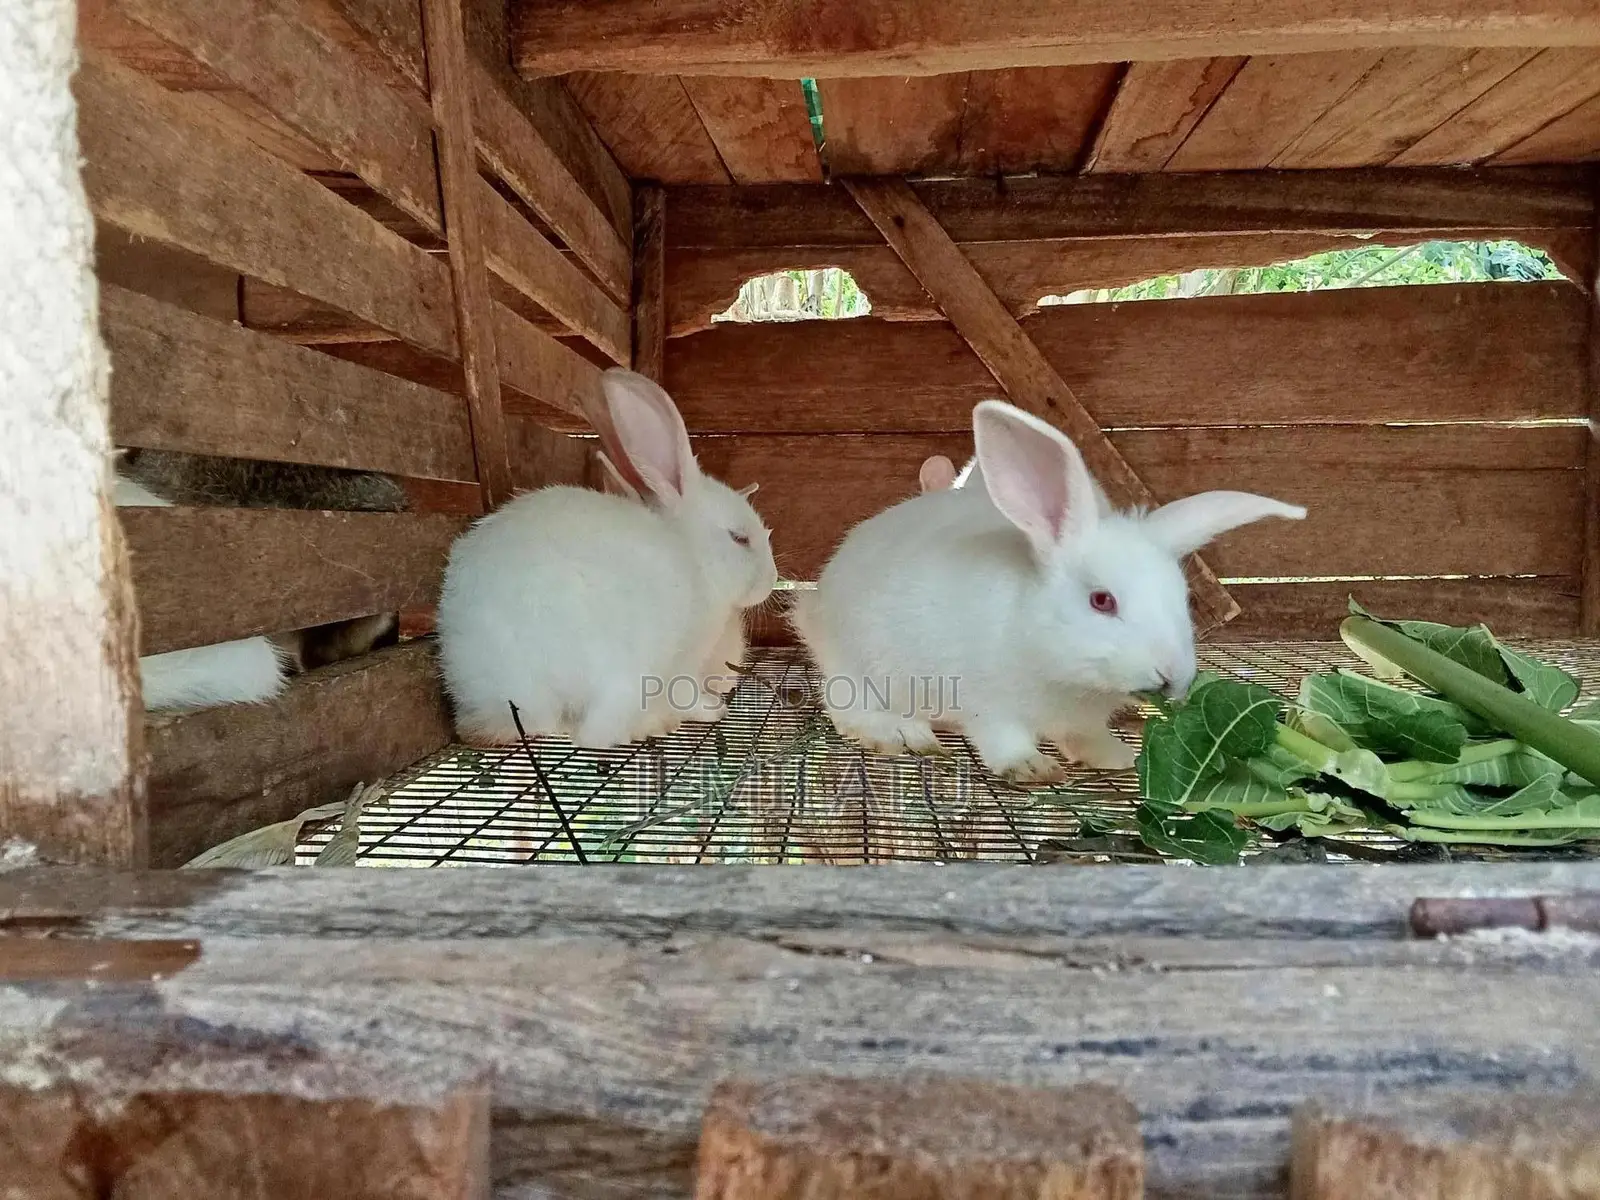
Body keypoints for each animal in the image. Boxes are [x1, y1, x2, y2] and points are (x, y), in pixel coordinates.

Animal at [435, 367, 778, 748]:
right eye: (740, 538)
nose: (772, 580)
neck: (694, 558)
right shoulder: (681, 663)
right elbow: (684, 694)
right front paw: (712, 710)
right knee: (592, 734)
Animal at [791, 399, 1305, 784]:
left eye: (1183, 599)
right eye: (1102, 601)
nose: (1172, 676)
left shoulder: (1082, 717)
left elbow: (1086, 736)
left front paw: (1114, 757)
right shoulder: (985, 701)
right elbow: (1001, 737)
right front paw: (1032, 768)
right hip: (854, 664)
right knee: (847, 705)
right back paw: (904, 734)